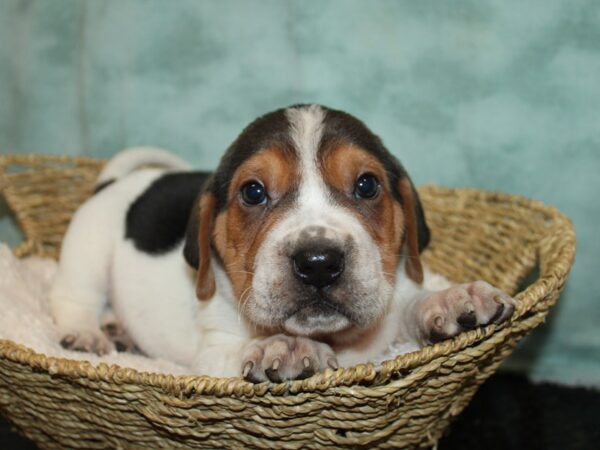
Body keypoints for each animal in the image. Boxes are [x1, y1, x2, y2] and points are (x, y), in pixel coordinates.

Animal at [50, 103, 516, 382]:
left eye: (367, 185)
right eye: (253, 192)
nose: (318, 262)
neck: (341, 341)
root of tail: (117, 182)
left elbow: (408, 304)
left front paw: (450, 300)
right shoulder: (212, 354)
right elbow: (242, 347)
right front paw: (285, 346)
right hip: (88, 251)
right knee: (75, 299)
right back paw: (88, 333)